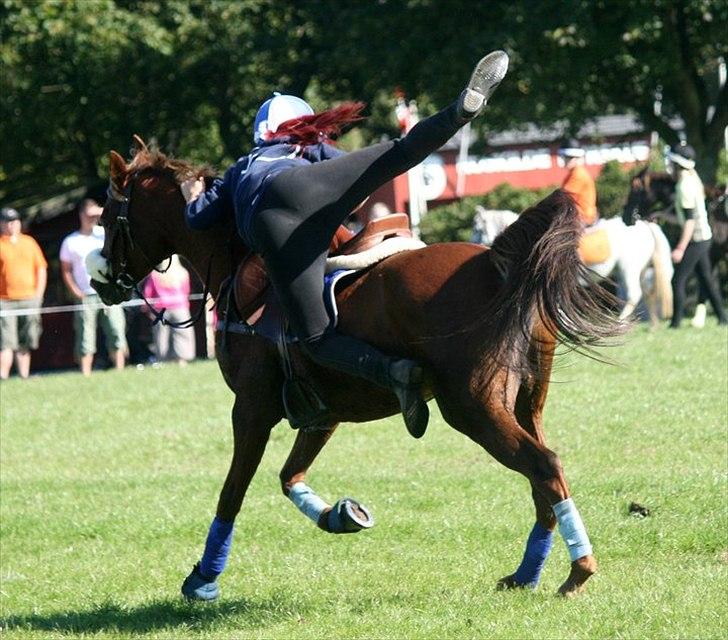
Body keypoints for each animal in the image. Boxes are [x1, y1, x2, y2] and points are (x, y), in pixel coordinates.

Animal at [91, 139, 624, 600]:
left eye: (108, 220)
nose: (102, 284)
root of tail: (496, 261)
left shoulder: (251, 409)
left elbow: (232, 493)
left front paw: (203, 579)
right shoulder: (320, 413)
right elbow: (289, 477)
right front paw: (341, 515)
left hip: (472, 406)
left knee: (544, 465)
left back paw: (577, 569)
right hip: (525, 400)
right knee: (542, 476)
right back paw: (526, 573)